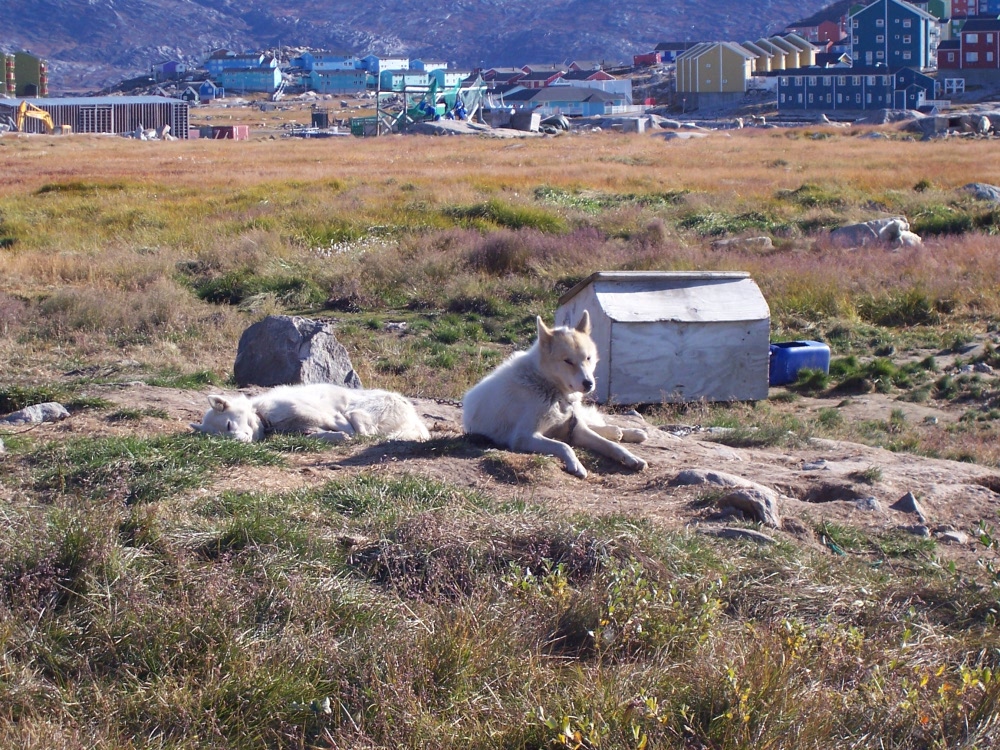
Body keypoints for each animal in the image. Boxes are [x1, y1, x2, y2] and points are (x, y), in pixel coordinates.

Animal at [191, 384, 430, 444]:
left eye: (229, 425)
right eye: (223, 437)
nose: (241, 442)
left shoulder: (328, 415)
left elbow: (344, 427)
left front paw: (344, 436)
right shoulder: (305, 429)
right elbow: (319, 435)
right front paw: (337, 438)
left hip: (358, 410)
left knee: (366, 432)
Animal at [460, 312, 648, 482]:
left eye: (588, 358)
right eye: (568, 361)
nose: (589, 383)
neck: (551, 390)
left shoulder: (576, 429)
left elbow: (610, 445)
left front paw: (630, 457)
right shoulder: (523, 437)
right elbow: (563, 445)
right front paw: (576, 464)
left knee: (596, 426)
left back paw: (629, 432)